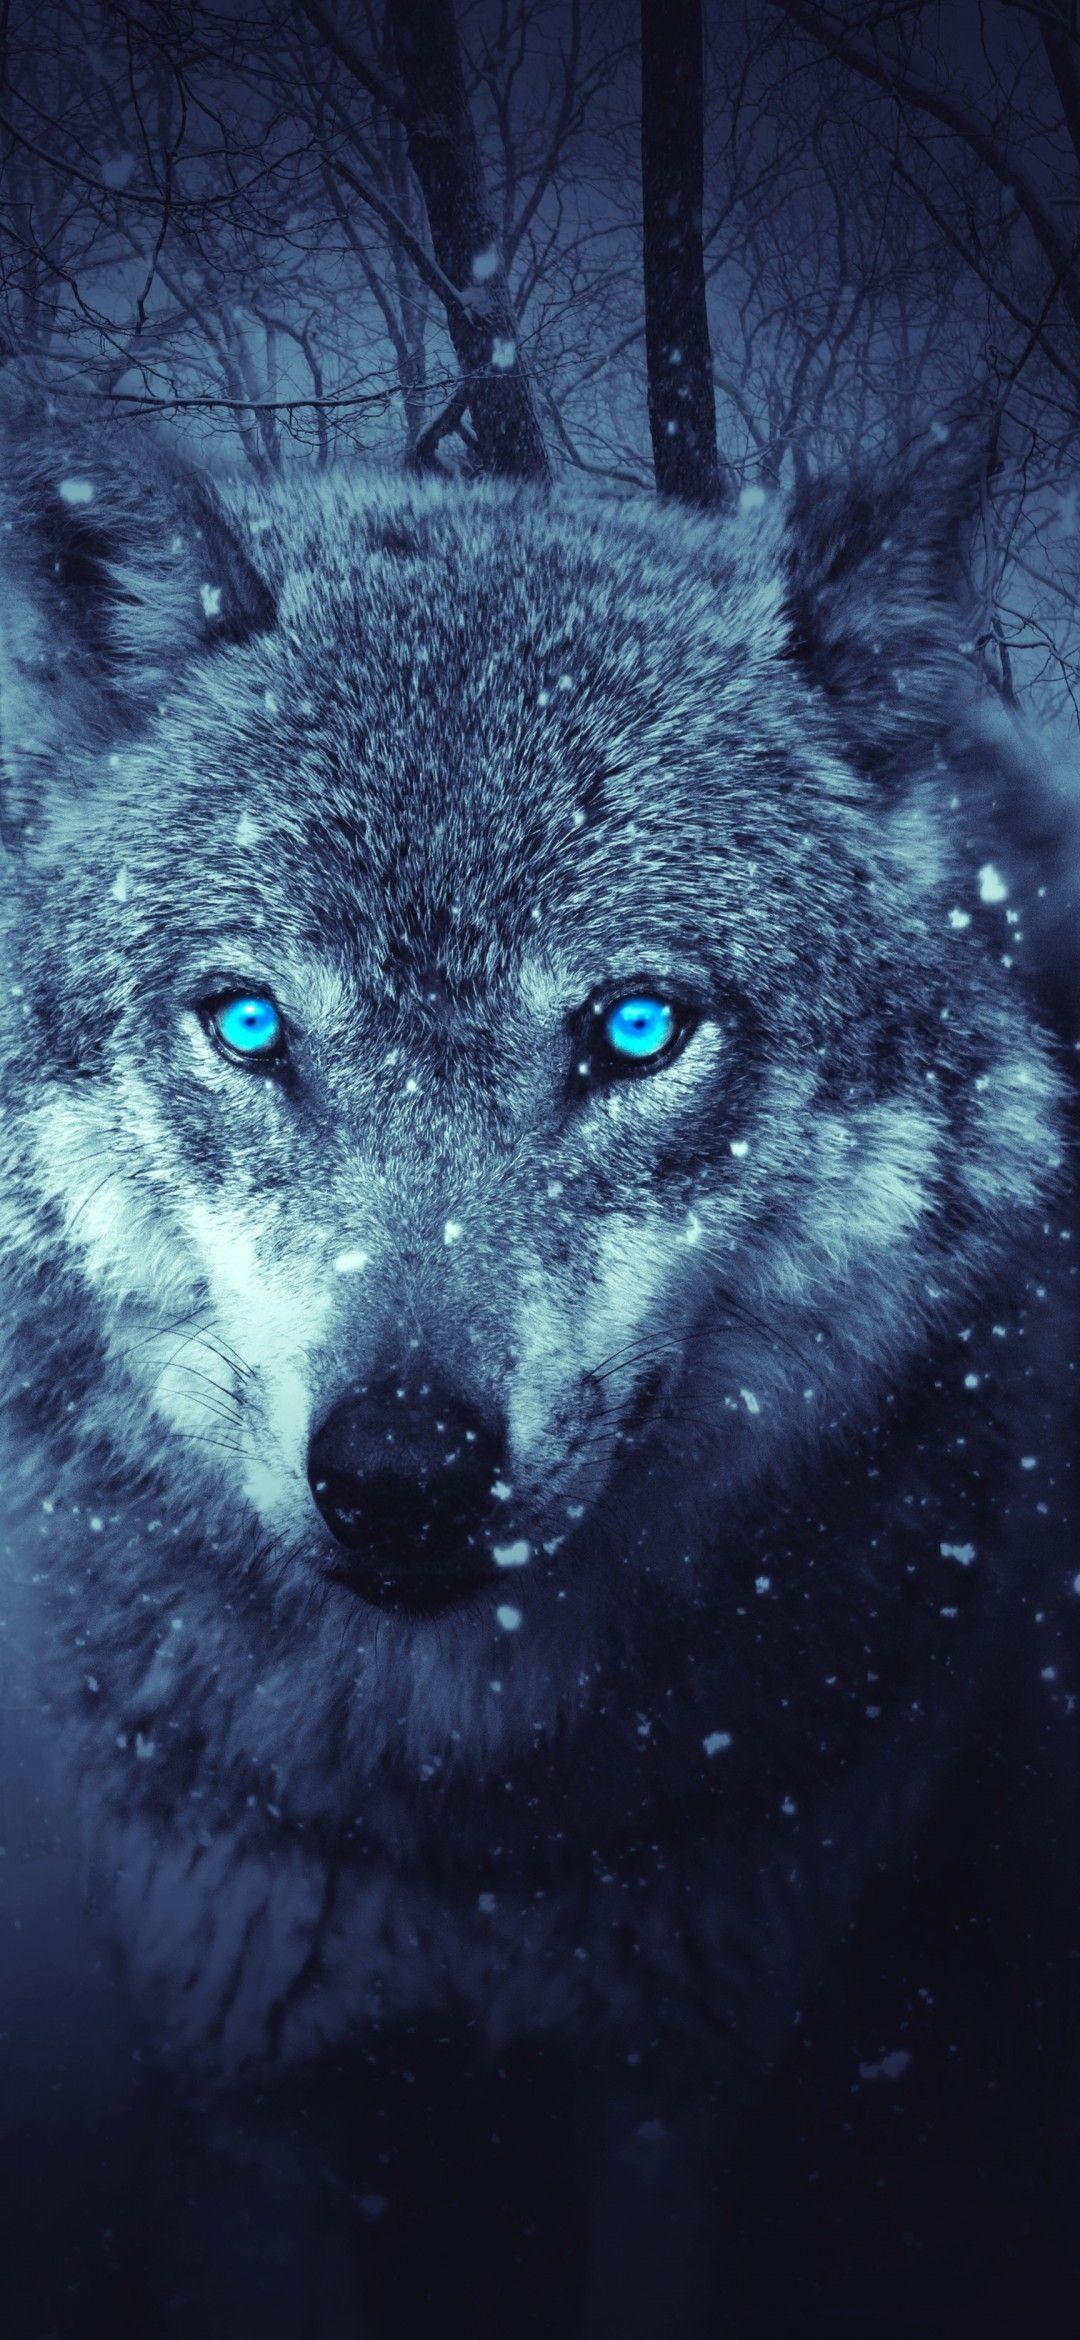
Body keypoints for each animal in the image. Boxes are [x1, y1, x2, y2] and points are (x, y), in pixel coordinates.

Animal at [0, 426, 1076, 2338]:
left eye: (636, 1029)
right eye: (251, 1025)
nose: (403, 1471)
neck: (464, 1827)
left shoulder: (682, 2093)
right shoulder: (248, 2093)